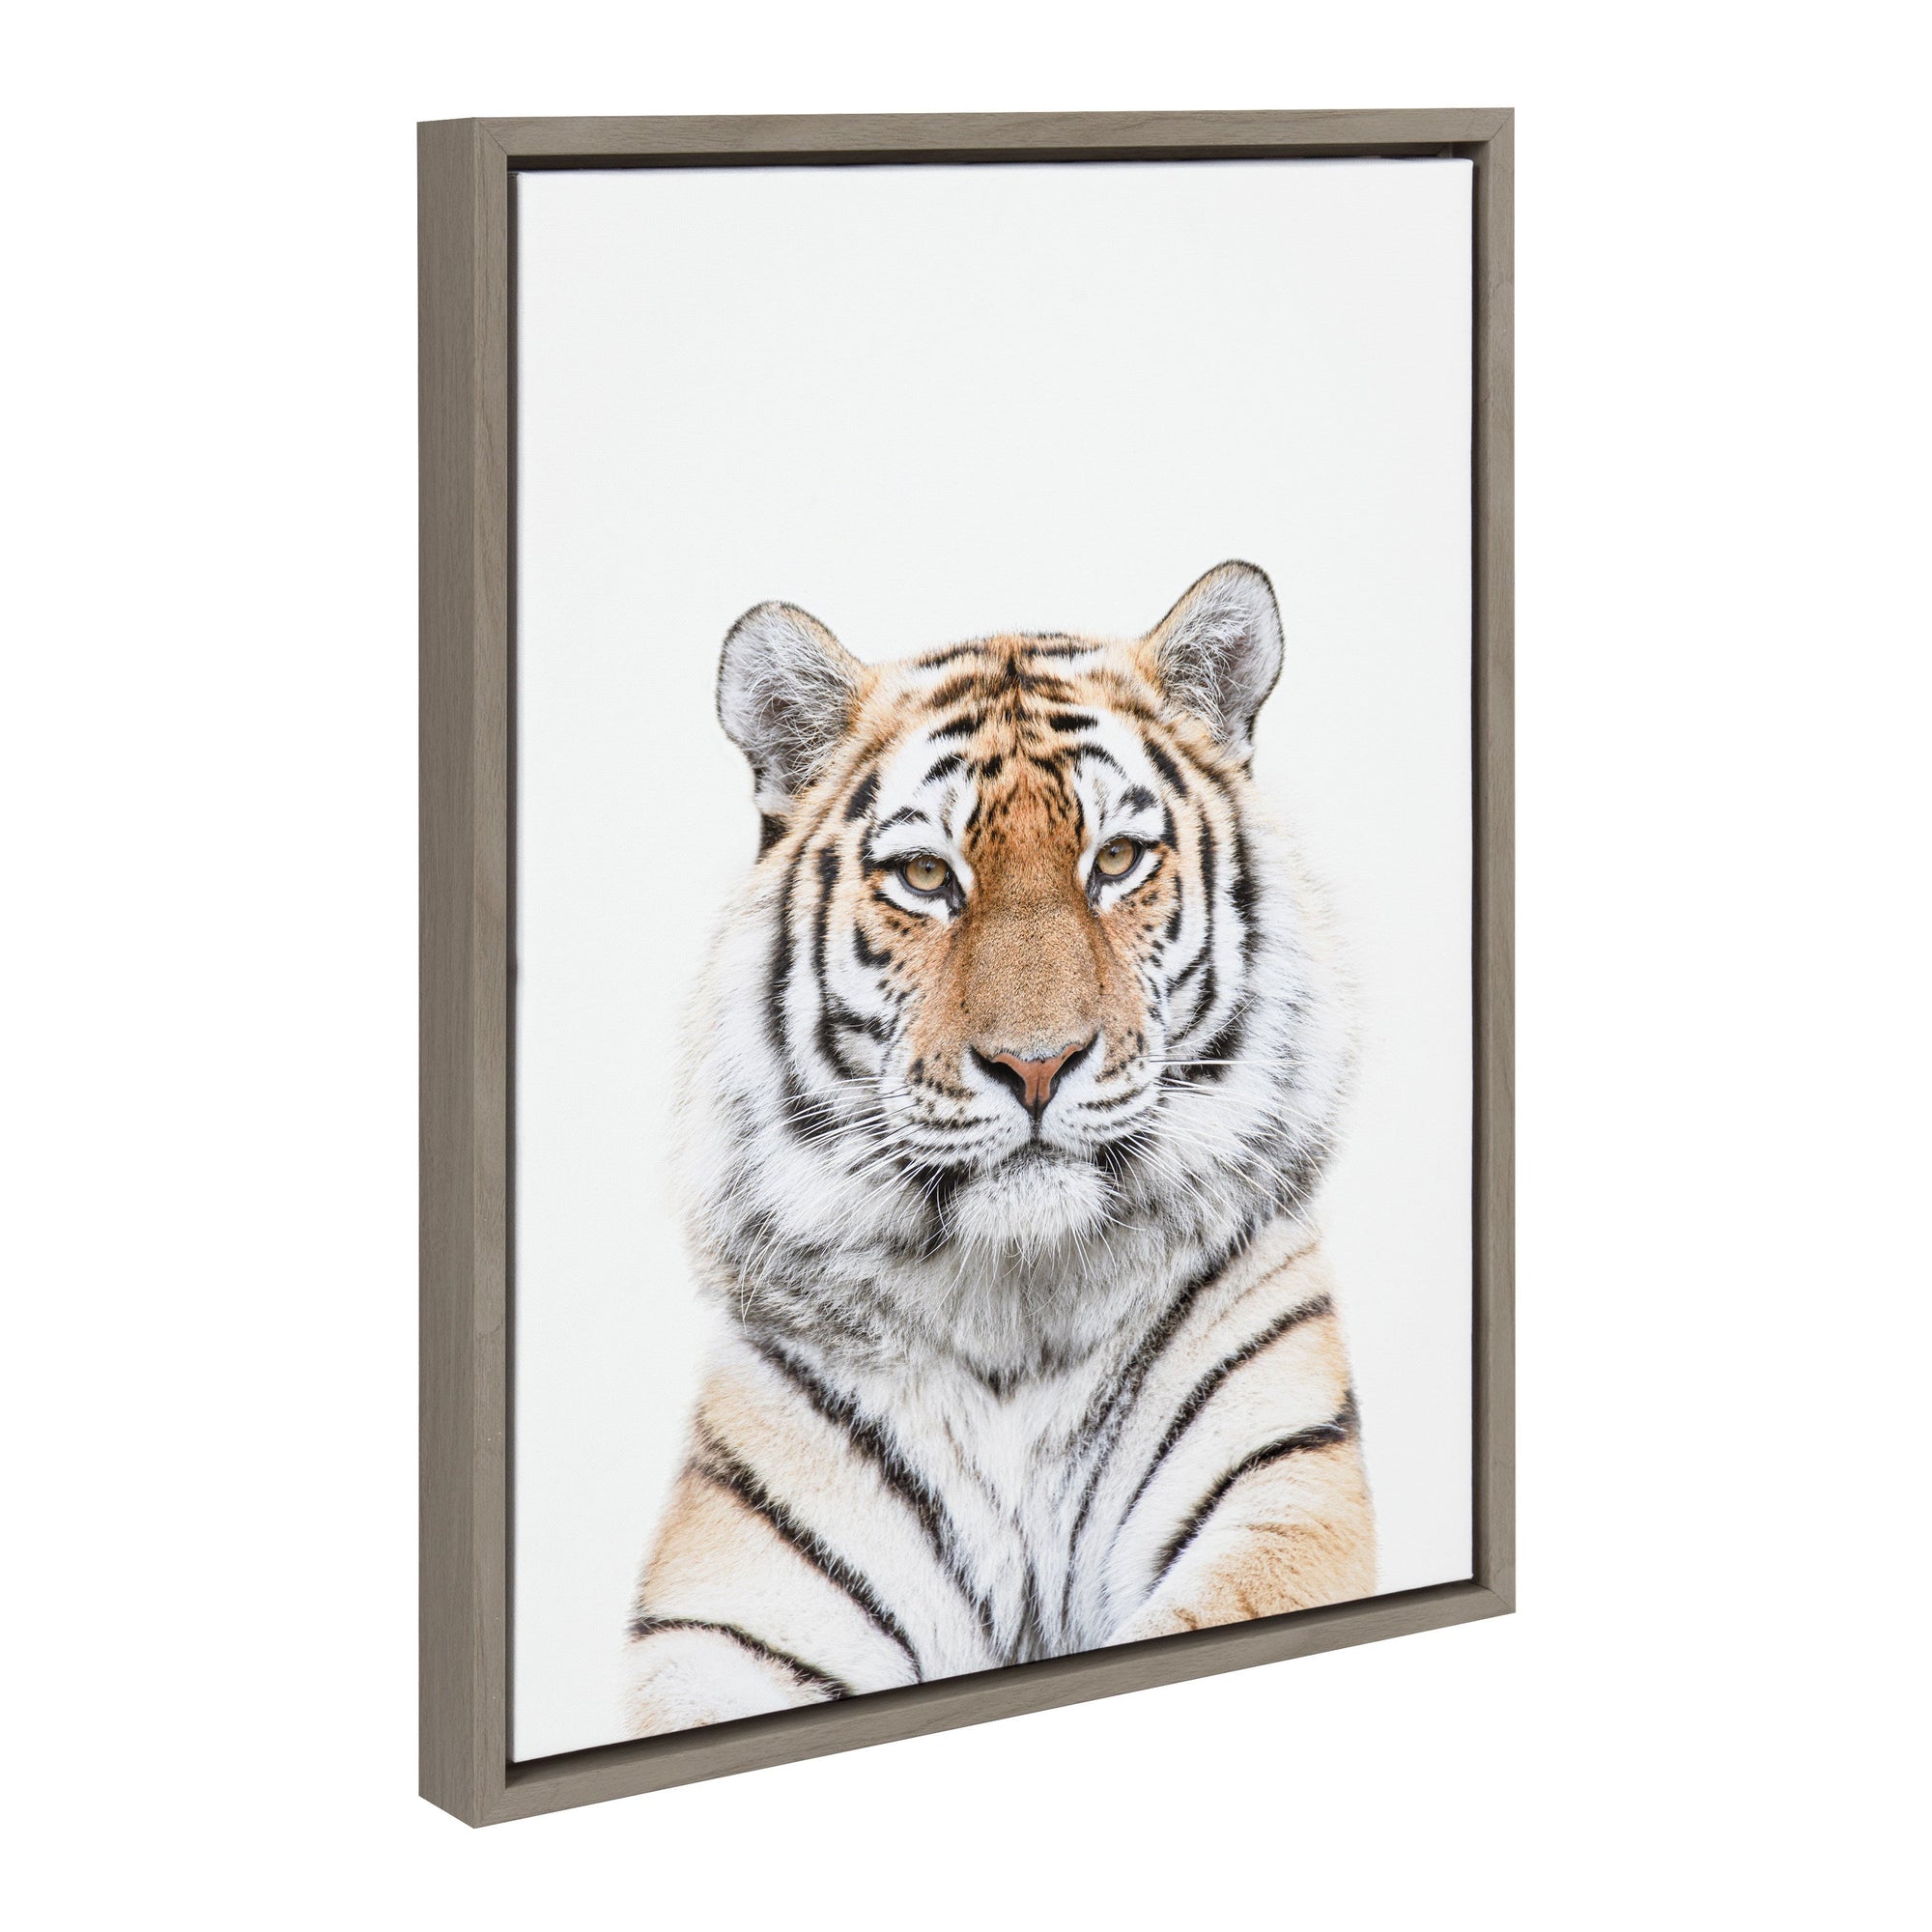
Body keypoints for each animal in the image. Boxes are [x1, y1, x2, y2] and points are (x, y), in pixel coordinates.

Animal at [621, 561, 1374, 1737]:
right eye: (927, 878)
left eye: (1117, 860)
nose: (1034, 1064)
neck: (1017, 1308)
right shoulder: (729, 1621)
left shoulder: (1282, 1503)